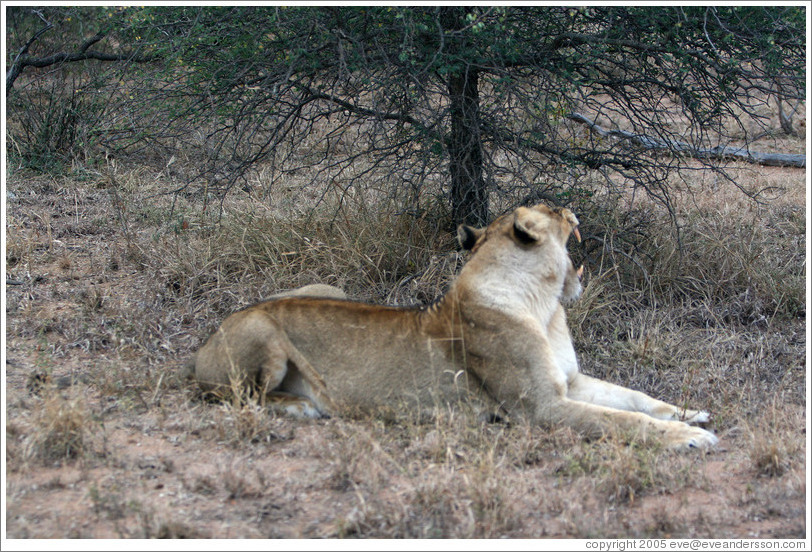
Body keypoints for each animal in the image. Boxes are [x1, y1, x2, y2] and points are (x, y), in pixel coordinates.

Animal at [187, 203, 718, 450]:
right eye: (550, 207)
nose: (570, 206)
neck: (546, 307)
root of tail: (204, 343)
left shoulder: (570, 382)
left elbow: (634, 398)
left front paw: (688, 413)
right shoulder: (540, 408)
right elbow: (621, 421)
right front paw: (685, 438)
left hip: (323, 288)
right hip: (261, 333)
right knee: (235, 397)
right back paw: (301, 406)